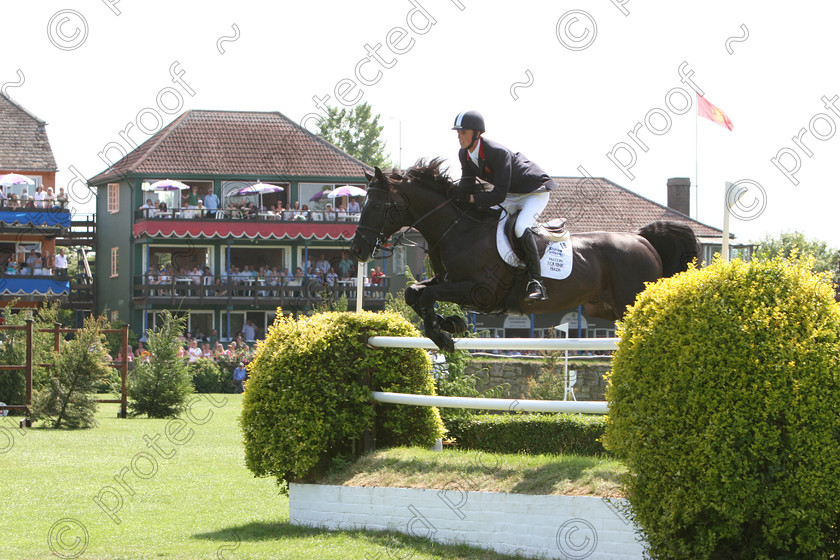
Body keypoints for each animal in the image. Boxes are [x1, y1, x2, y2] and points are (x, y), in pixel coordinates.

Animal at [352, 159, 700, 350]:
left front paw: (444, 333)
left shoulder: (479, 291)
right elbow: (415, 292)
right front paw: (449, 325)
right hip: (605, 307)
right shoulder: (447, 280)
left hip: (630, 301)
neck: (458, 229)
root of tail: (642, 240)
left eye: (377, 205)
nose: (358, 249)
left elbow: (425, 295)